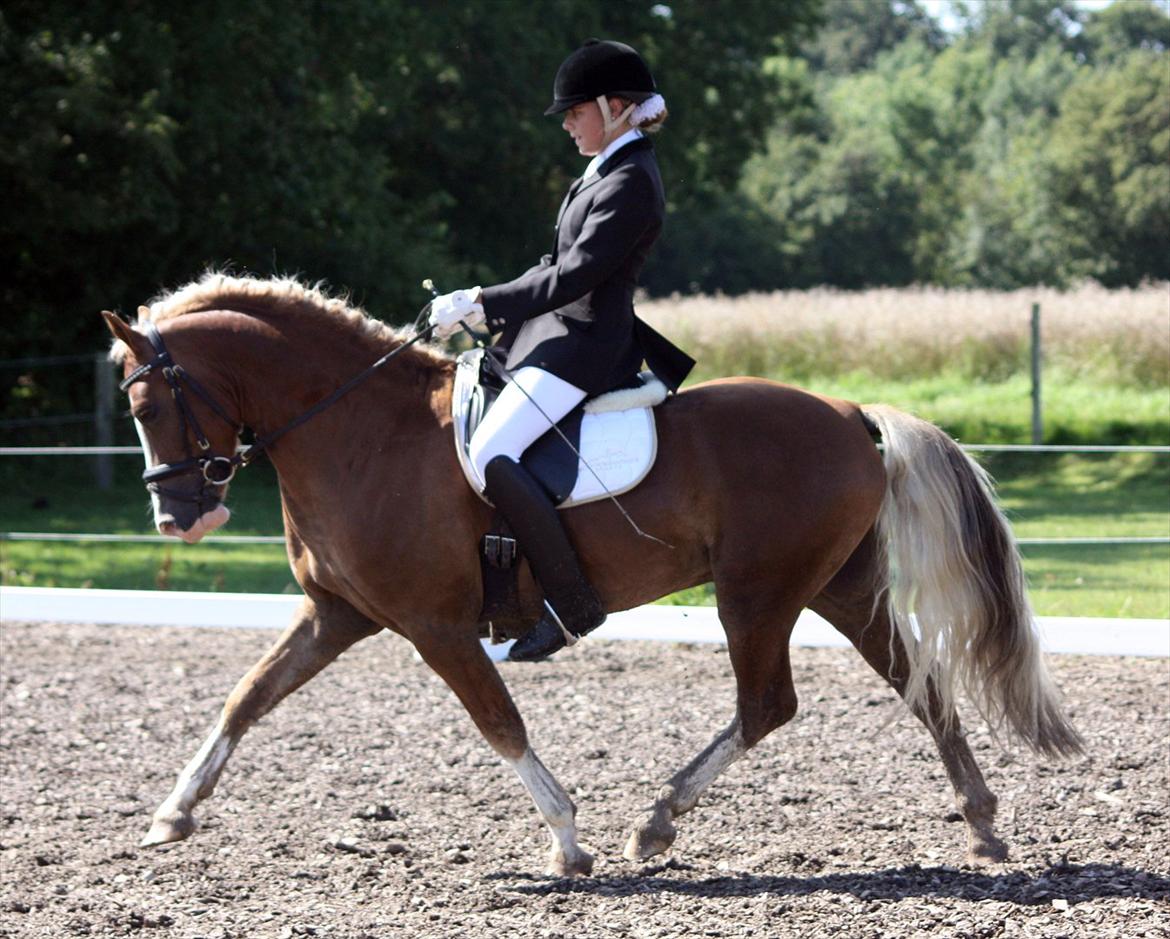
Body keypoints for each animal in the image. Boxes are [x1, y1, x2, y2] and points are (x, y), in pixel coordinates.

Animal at [105, 275, 1081, 879]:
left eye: (150, 403)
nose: (181, 519)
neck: (359, 431)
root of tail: (849, 413)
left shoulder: (436, 625)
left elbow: (499, 722)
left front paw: (569, 843)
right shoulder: (337, 614)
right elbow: (247, 696)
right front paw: (172, 813)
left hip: (758, 592)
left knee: (768, 703)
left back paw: (657, 819)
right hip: (837, 586)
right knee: (919, 684)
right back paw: (982, 821)